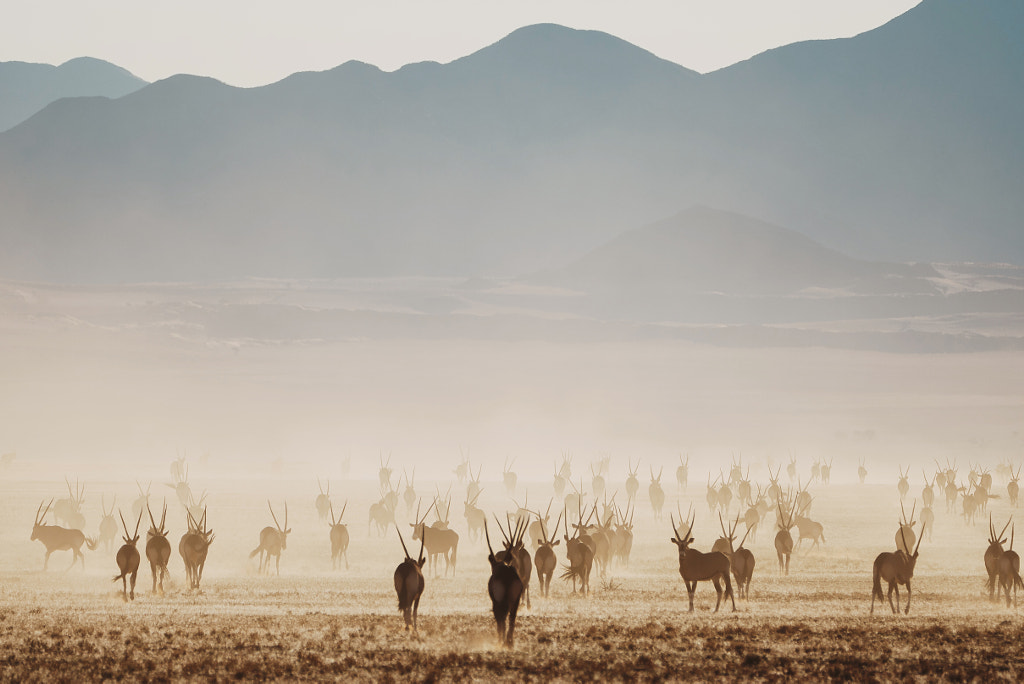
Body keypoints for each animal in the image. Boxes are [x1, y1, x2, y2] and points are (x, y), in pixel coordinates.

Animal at [483, 518, 524, 647]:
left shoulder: (494, 601)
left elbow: (498, 618)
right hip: (515, 601)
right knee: (512, 617)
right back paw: (509, 642)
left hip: (500, 602)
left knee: (501, 617)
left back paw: (502, 641)